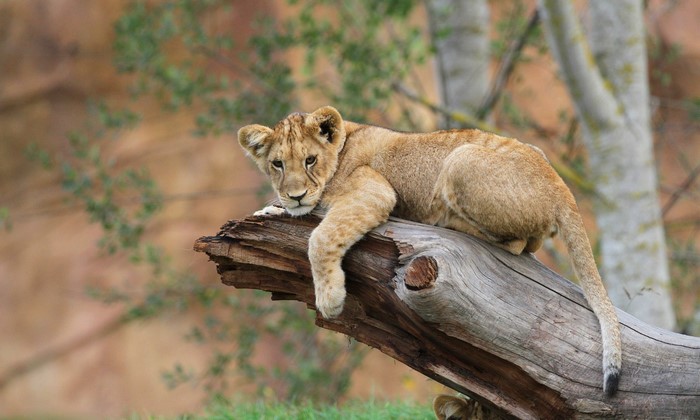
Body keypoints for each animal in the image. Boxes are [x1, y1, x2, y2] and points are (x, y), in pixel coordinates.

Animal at [237, 105, 622, 395]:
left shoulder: (374, 193)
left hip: (460, 160)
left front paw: (330, 300)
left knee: (517, 244)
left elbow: (320, 238)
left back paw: (450, 222)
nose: (296, 195)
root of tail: (560, 185)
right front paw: (271, 210)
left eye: (310, 160)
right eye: (277, 164)